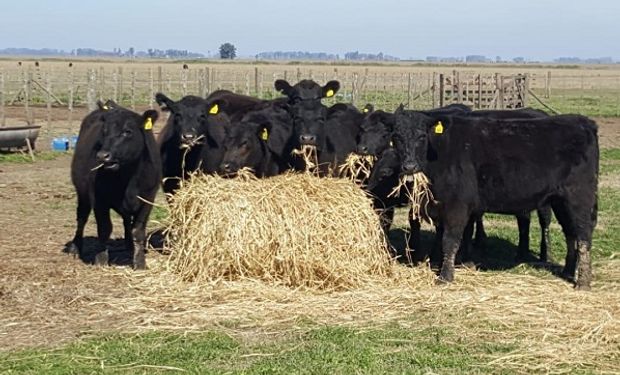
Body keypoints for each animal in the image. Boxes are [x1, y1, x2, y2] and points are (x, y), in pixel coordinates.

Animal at [65, 105, 161, 270]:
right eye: (104, 132)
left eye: (127, 131)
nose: (102, 155)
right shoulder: (99, 199)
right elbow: (104, 228)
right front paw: (101, 261)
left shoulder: (148, 199)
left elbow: (138, 230)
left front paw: (139, 262)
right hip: (82, 192)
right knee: (81, 218)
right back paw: (75, 247)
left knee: (126, 220)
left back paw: (129, 245)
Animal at [394, 113, 600, 290]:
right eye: (396, 137)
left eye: (422, 136)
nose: (409, 166)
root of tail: (583, 122)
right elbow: (458, 235)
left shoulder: (456, 205)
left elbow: (450, 240)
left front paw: (445, 276)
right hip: (560, 201)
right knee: (570, 232)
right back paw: (568, 271)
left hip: (579, 197)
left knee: (583, 235)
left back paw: (583, 282)